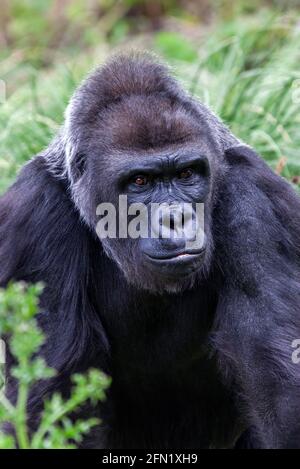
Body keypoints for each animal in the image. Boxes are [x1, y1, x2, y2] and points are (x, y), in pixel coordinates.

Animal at [0, 53, 300, 448]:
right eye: (139, 181)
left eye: (187, 174)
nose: (176, 219)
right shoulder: (35, 214)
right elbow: (53, 393)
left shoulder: (255, 194)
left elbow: (278, 375)